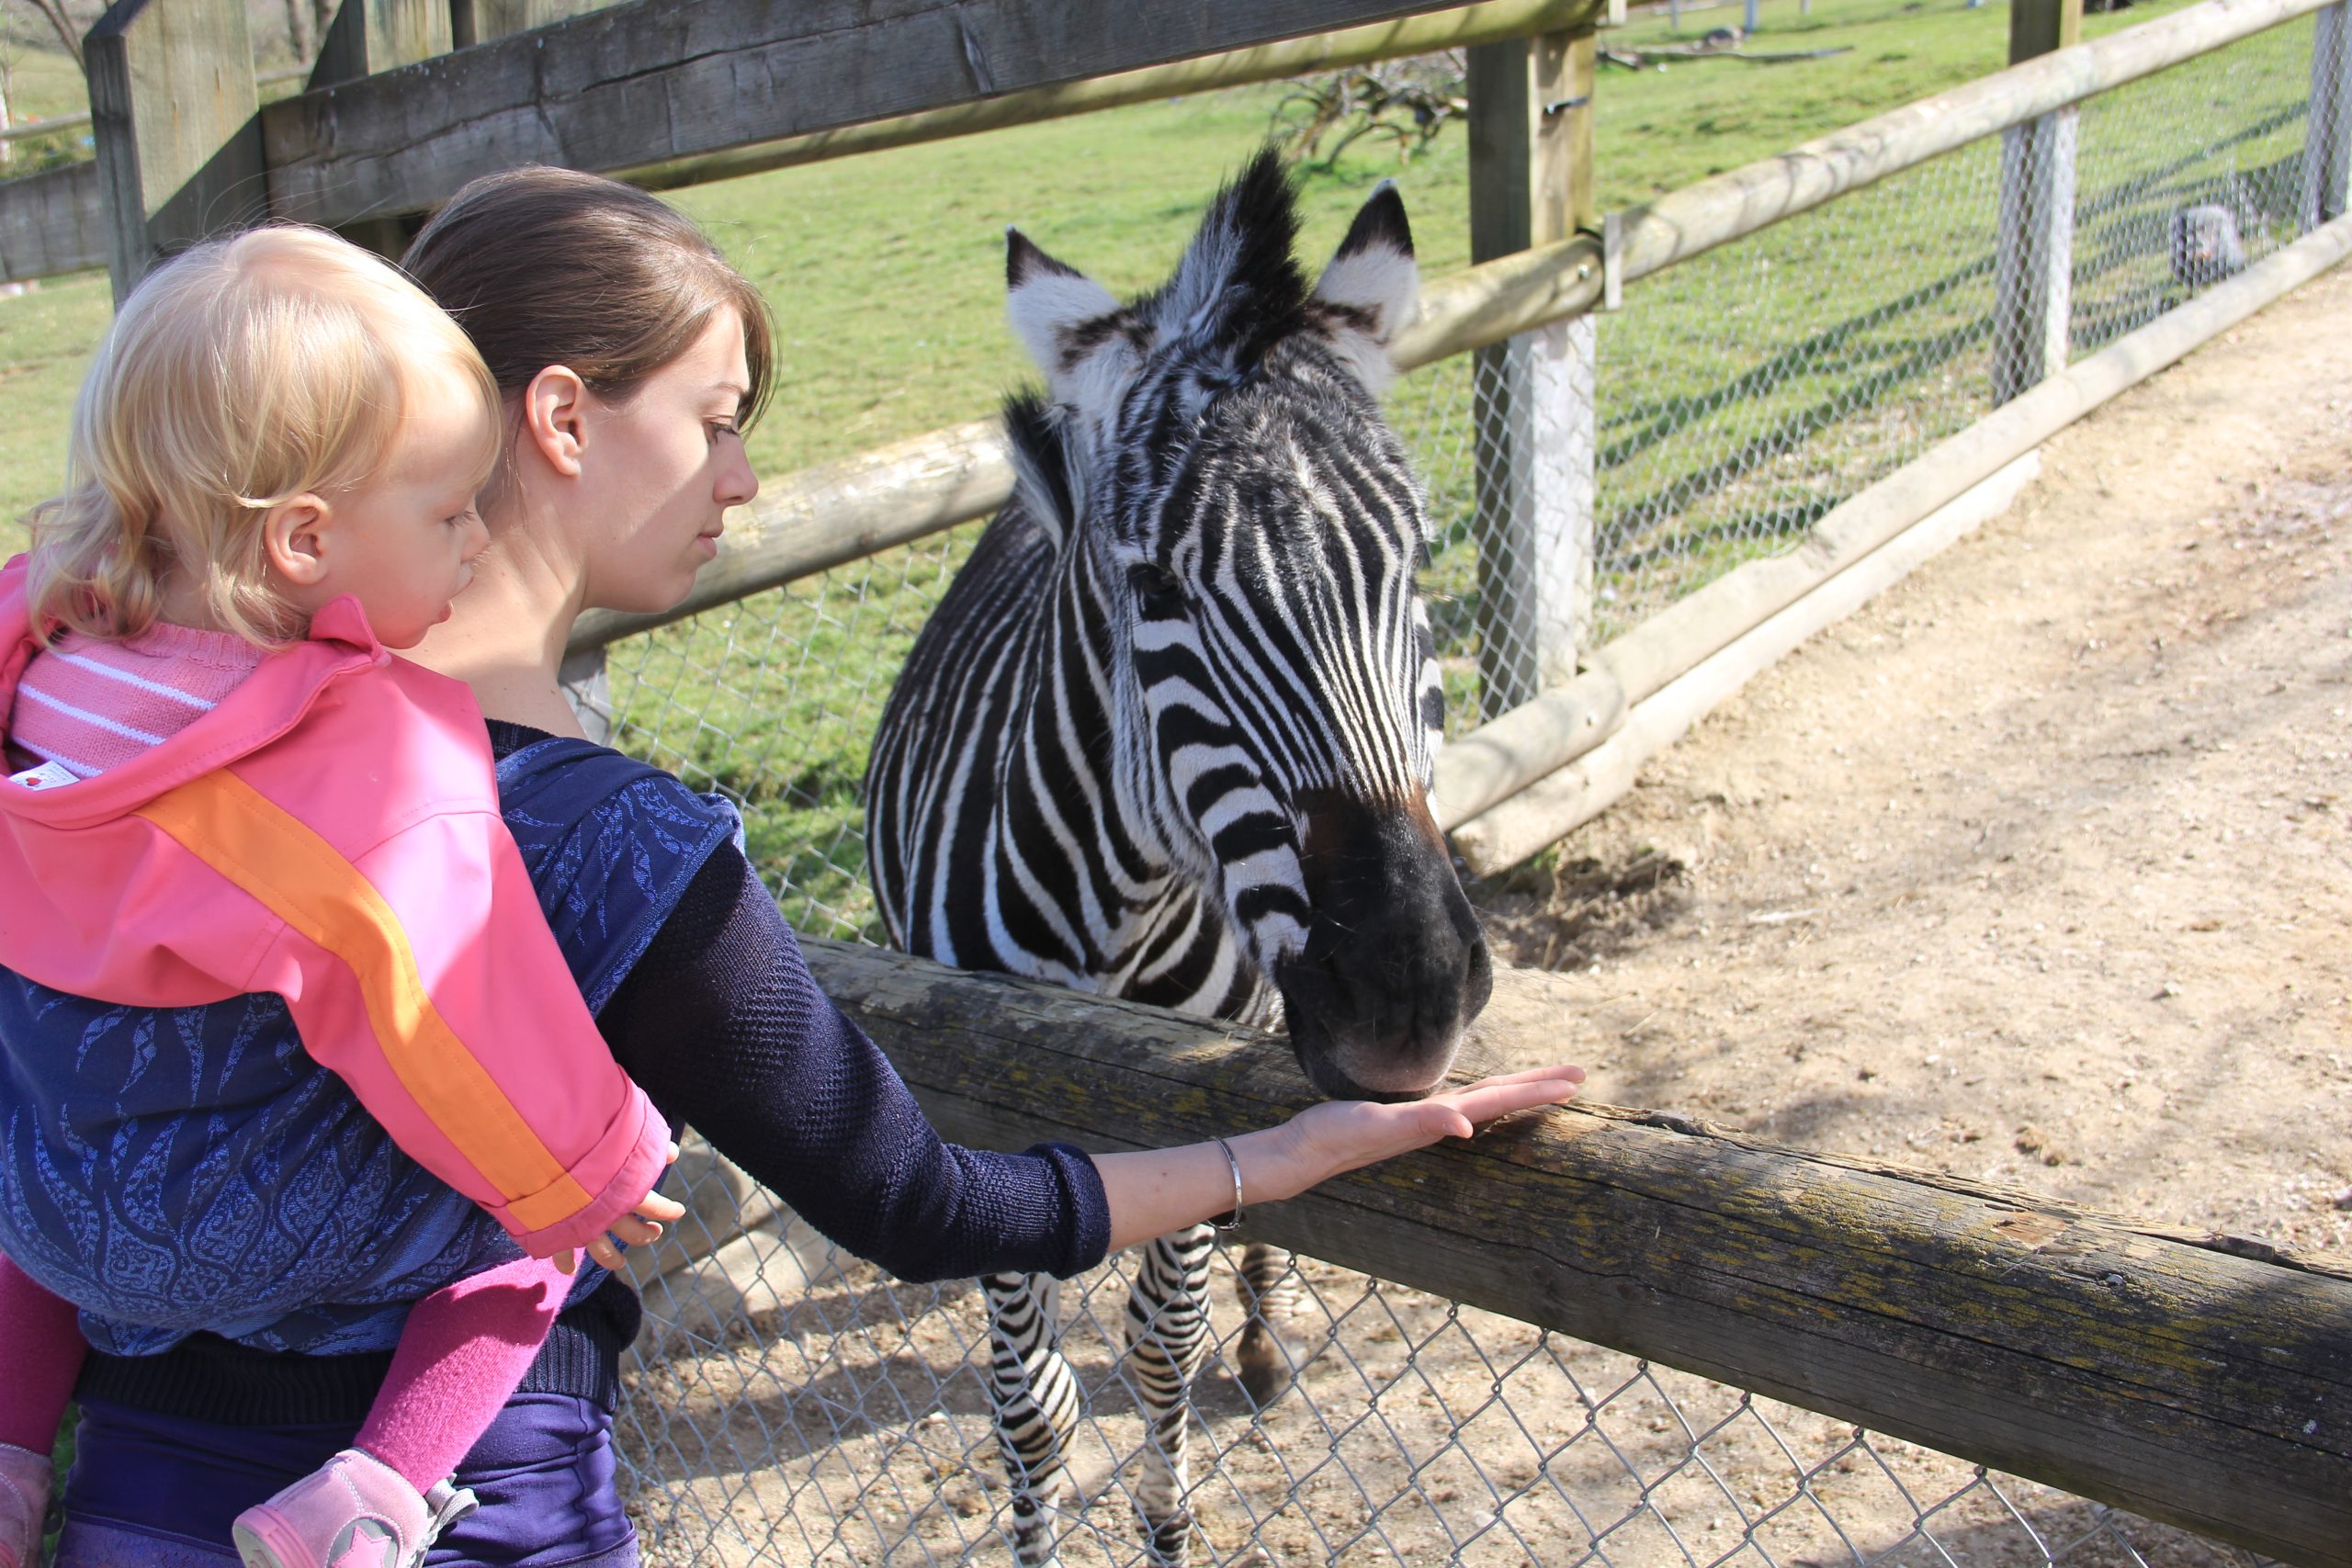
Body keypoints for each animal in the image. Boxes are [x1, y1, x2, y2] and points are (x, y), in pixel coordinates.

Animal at [865, 150, 1486, 1568]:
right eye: (1155, 591)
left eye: (1417, 560)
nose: (1410, 999)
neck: (1115, 911)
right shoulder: (975, 1095)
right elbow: (1028, 1404)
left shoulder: (1192, 1091)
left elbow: (1161, 1349)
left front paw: (1169, 1510)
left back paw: (1261, 1339)